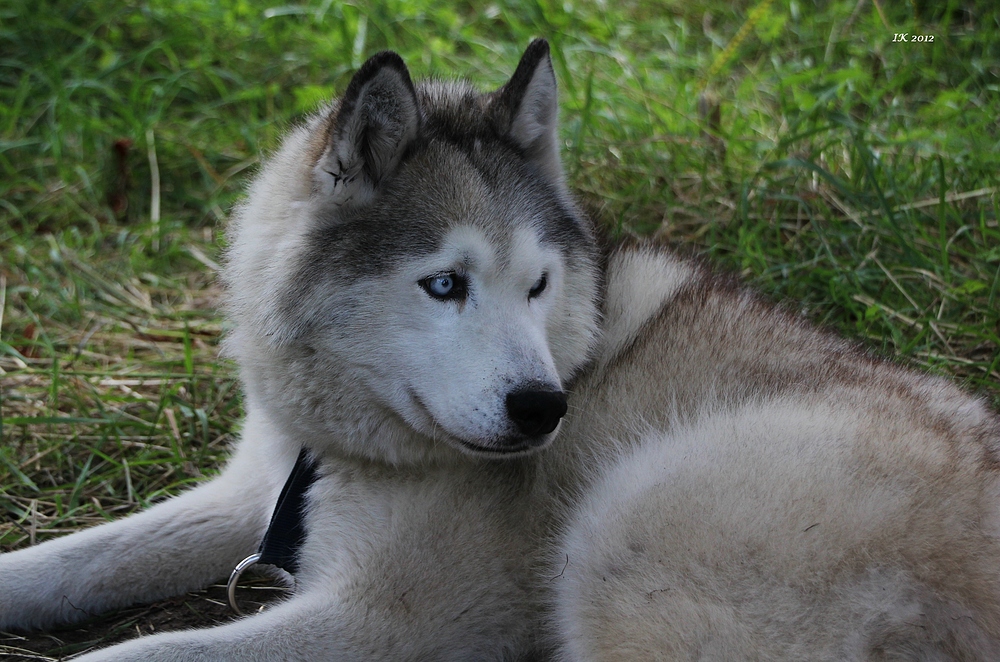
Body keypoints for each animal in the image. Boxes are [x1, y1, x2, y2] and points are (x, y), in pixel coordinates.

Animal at [1, 42, 1000, 662]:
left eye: (538, 285)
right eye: (446, 283)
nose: (544, 408)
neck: (340, 449)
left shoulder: (382, 623)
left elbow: (143, 650)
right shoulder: (253, 494)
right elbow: (69, 564)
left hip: (621, 524)